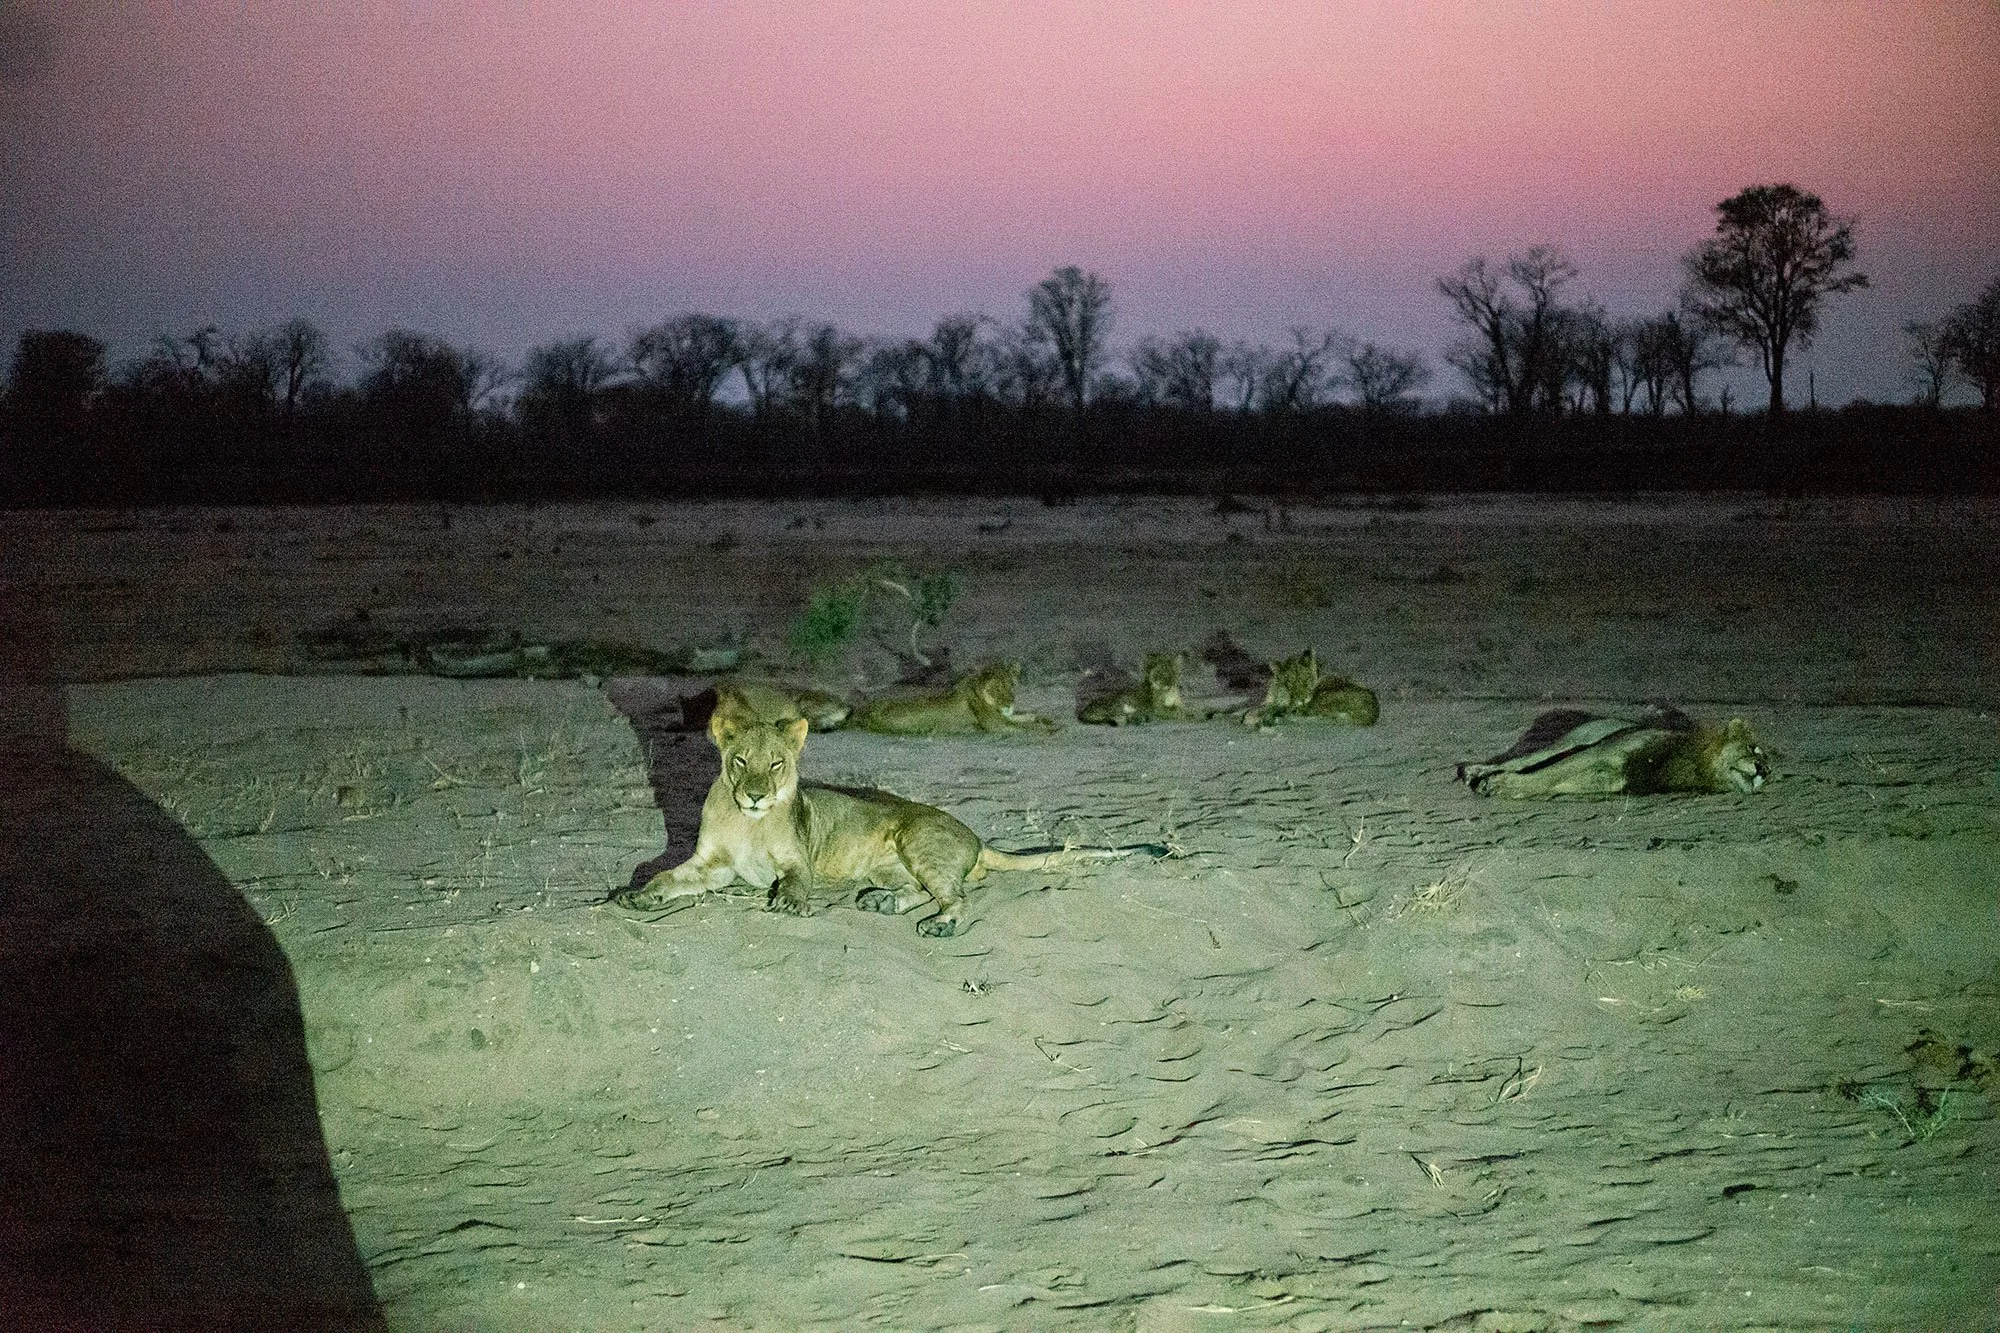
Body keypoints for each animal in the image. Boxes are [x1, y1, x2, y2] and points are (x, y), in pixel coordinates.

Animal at [611, 688, 1162, 936]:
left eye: (777, 764)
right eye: (741, 761)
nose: (755, 796)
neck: (748, 823)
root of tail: (978, 839)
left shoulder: (798, 859)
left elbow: (795, 880)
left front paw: (787, 903)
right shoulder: (711, 866)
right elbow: (667, 877)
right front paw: (636, 894)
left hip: (918, 840)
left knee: (957, 896)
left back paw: (939, 925)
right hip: (895, 863)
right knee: (925, 890)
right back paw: (882, 903)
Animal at [846, 662, 1057, 736]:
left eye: (1010, 685)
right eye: (995, 689)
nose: (1008, 705)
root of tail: (859, 712)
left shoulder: (1004, 717)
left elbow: (1029, 715)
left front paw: (1048, 721)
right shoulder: (996, 725)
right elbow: (1026, 727)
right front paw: (1047, 729)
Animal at [1458, 706, 1769, 798]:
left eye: (1770, 769)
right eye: (1752, 749)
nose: (1764, 771)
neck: (1695, 764)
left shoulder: (1605, 780)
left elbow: (1548, 781)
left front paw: (1507, 787)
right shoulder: (1599, 754)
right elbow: (1544, 774)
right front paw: (1498, 784)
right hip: (1576, 740)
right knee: (1524, 759)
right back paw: (1474, 771)